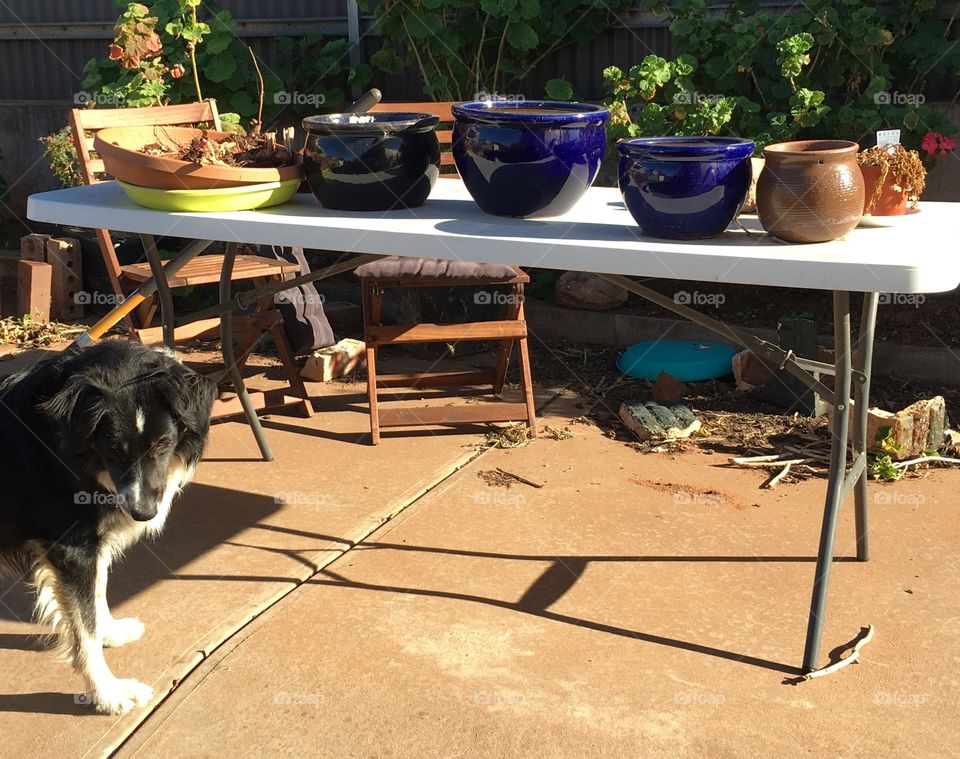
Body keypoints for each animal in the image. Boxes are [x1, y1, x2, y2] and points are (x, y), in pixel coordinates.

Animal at [0, 342, 217, 716]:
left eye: (163, 443)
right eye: (114, 448)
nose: (143, 513)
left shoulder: (90, 547)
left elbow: (97, 593)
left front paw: (110, 632)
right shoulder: (71, 549)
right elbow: (83, 631)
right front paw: (108, 694)